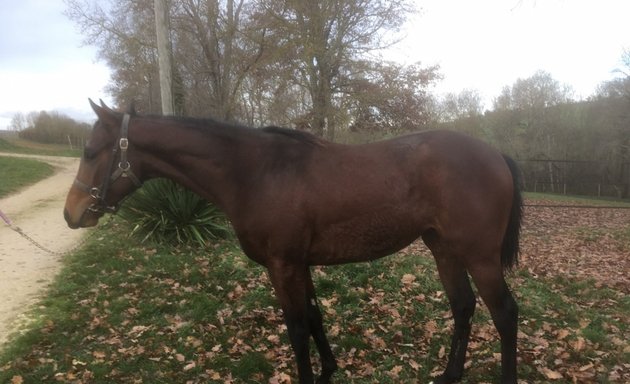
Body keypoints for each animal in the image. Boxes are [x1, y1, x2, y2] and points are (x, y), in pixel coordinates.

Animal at [64, 100, 524, 382]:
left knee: (504, 314)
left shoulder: (282, 264)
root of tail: (496, 155)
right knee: (463, 307)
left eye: (90, 151)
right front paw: (328, 370)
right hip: (443, 249)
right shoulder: (299, 264)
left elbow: (297, 328)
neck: (258, 172)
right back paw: (449, 374)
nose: (72, 213)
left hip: (480, 256)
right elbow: (315, 318)